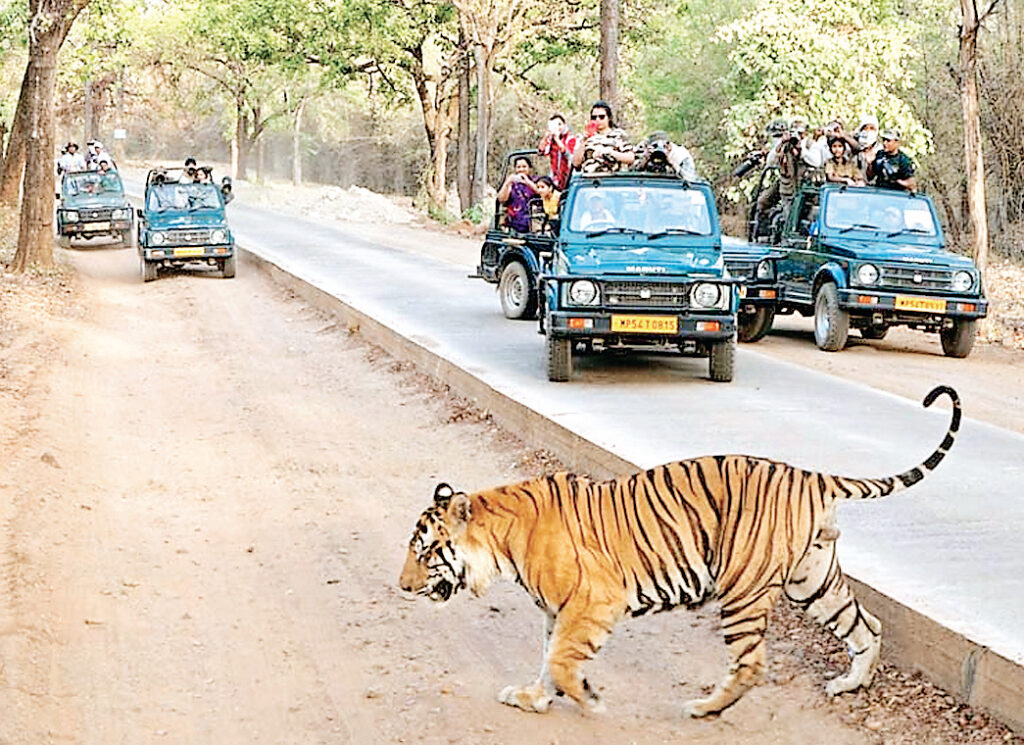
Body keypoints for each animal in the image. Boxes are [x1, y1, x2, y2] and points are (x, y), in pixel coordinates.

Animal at [397, 384, 958, 716]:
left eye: (424, 553)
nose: (401, 587)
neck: (500, 541)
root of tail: (809, 475)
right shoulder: (558, 610)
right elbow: (547, 658)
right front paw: (534, 697)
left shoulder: (593, 601)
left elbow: (560, 659)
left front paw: (588, 700)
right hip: (812, 580)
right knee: (868, 624)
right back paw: (851, 684)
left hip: (743, 588)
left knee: (752, 664)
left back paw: (705, 708)